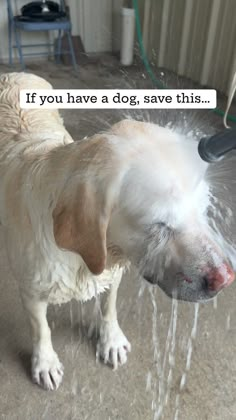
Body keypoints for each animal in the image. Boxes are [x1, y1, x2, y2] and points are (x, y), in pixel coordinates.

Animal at [0, 73, 234, 390]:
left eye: (203, 208)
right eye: (159, 224)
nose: (225, 279)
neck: (81, 259)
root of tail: (14, 74)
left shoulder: (113, 271)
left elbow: (109, 307)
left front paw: (111, 341)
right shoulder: (32, 291)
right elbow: (41, 329)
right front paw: (45, 362)